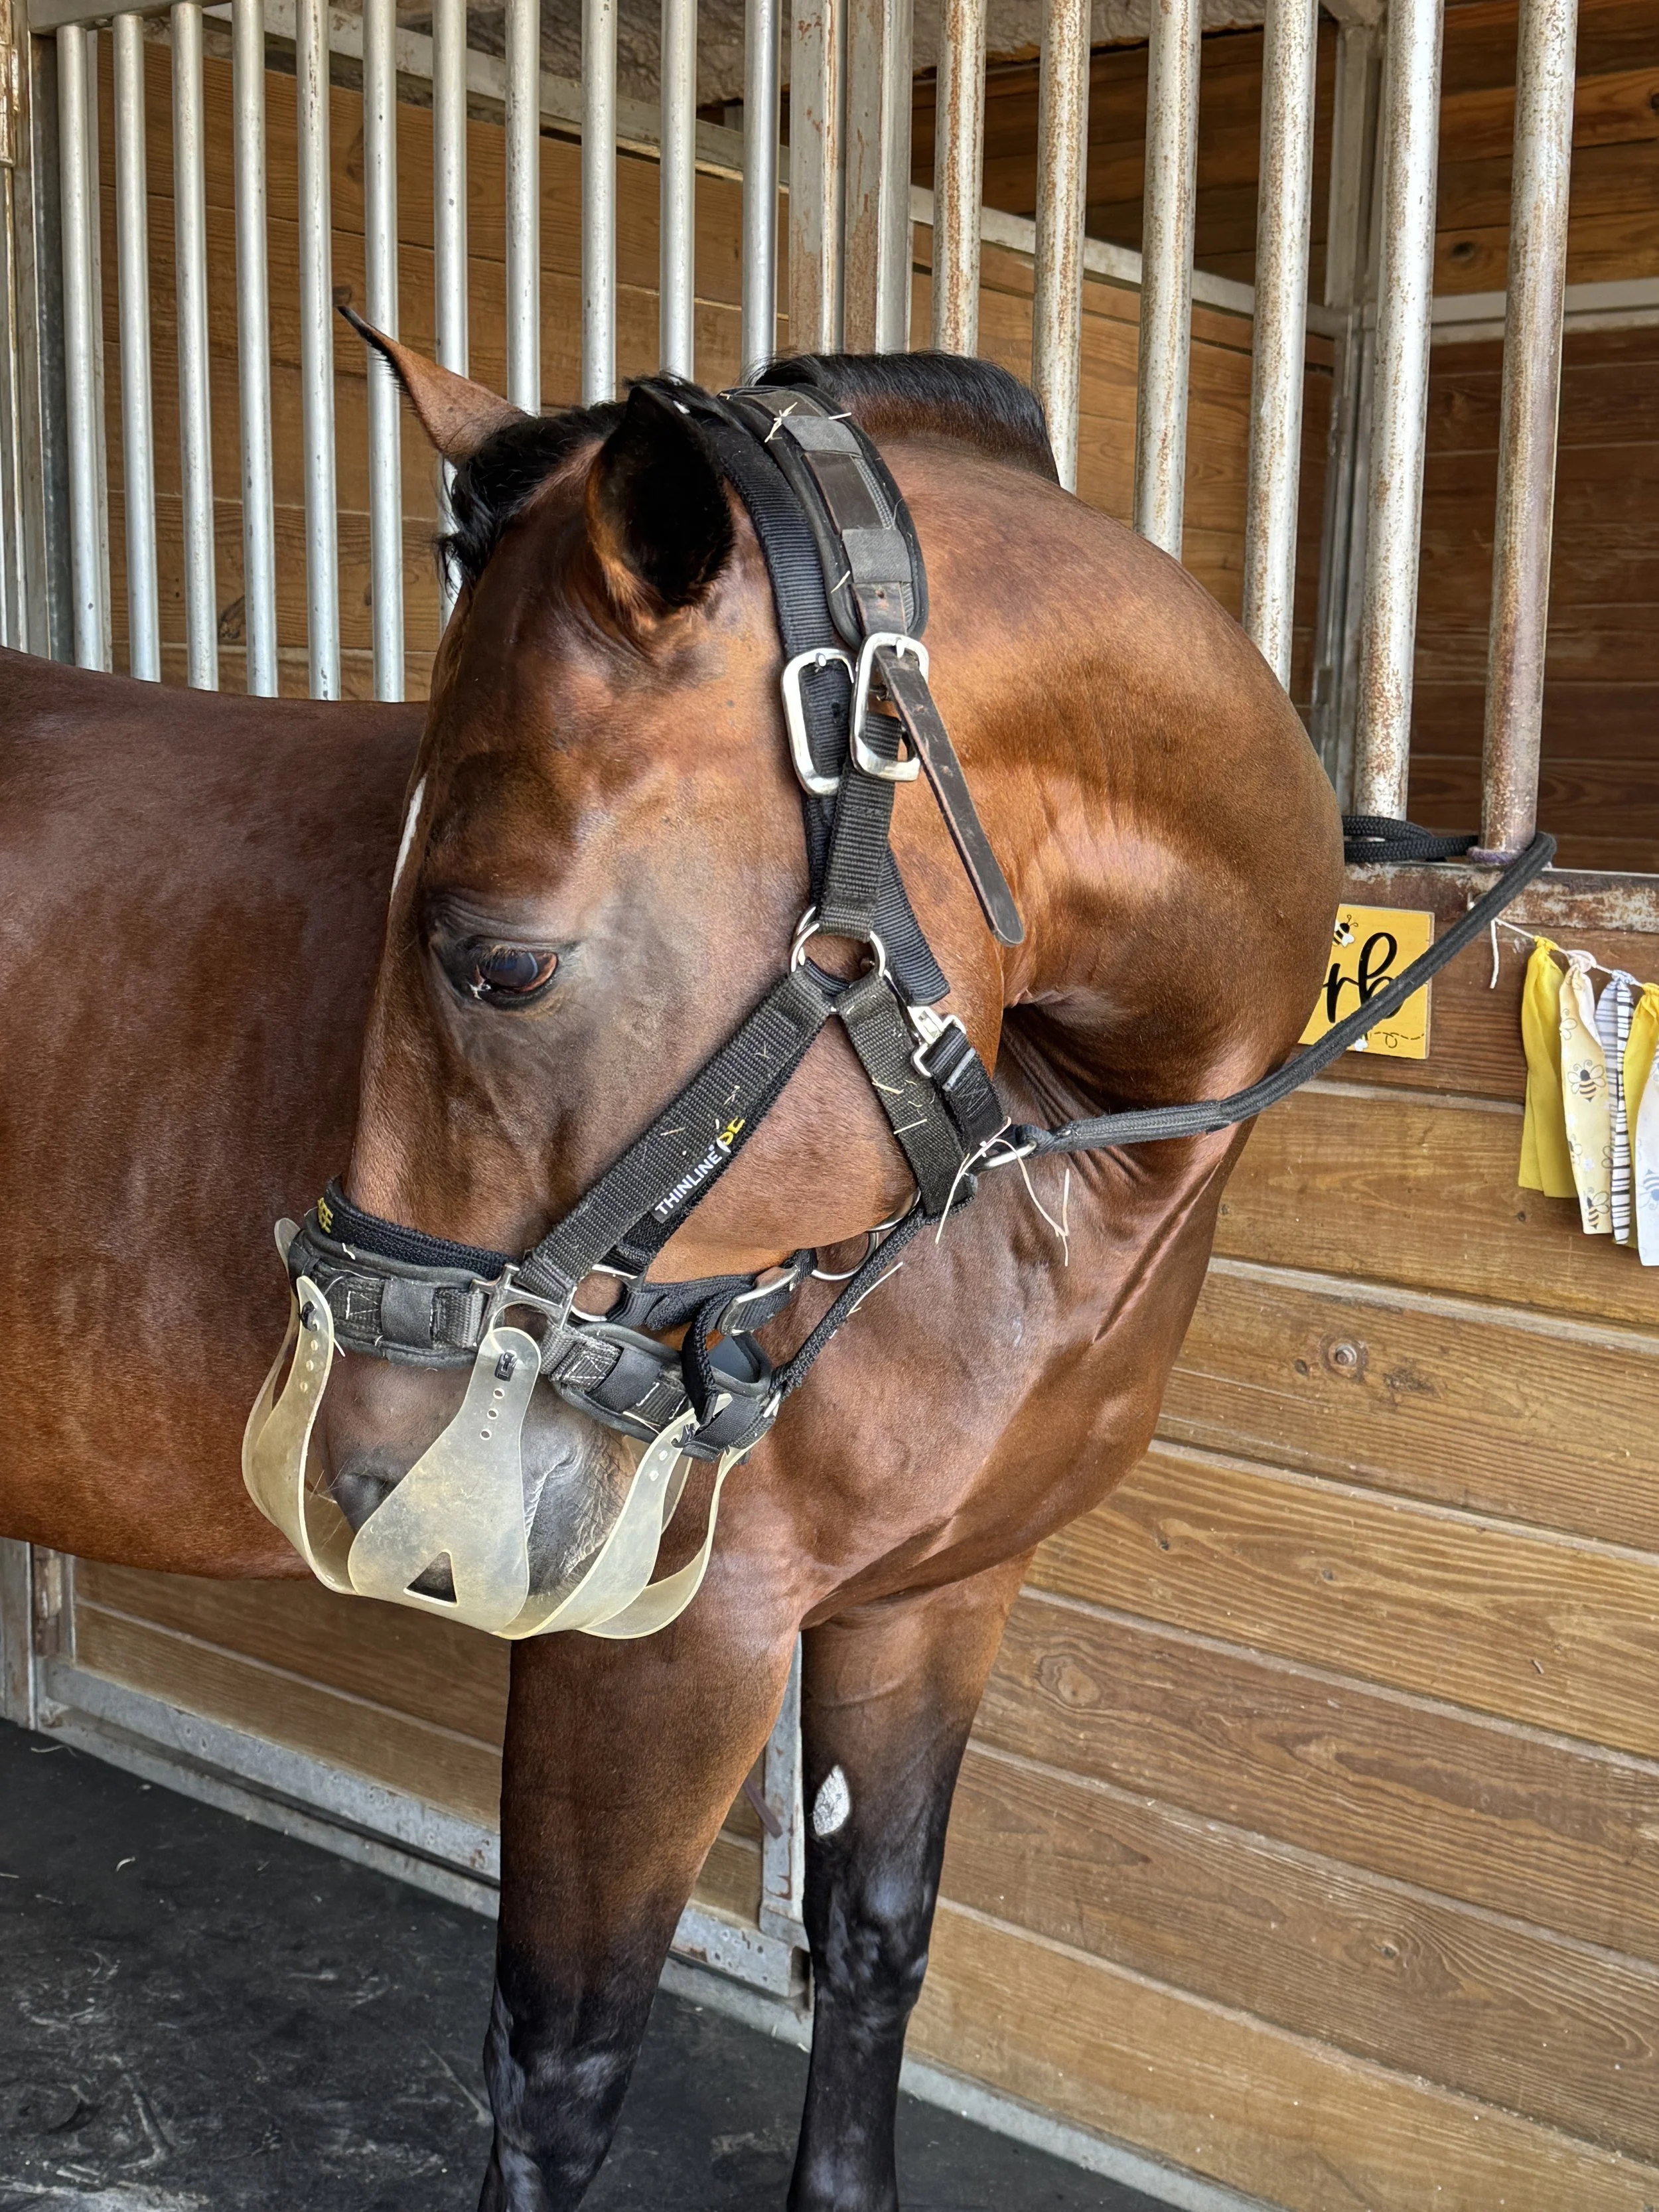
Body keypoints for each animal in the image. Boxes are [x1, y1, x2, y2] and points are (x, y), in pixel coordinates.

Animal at [0, 341, 1341, 2209]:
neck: (1064, 1176)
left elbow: (876, 1941)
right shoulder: (664, 1643)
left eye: (499, 961)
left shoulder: (936, 1598)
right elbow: (561, 2065)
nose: (368, 1479)